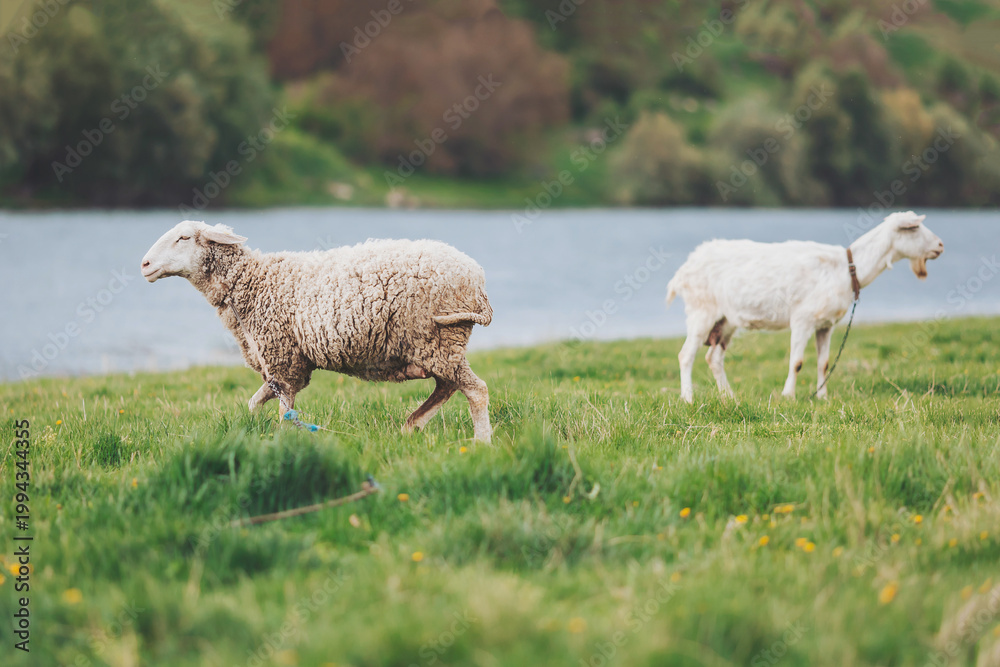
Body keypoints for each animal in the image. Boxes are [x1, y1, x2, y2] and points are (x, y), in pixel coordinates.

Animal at [141, 220, 494, 442]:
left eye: (184, 237)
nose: (144, 265)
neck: (251, 282)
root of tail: (477, 281)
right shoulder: (284, 363)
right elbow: (254, 403)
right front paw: (250, 427)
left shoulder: (282, 358)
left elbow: (284, 412)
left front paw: (283, 443)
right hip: (438, 345)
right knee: (448, 386)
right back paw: (412, 425)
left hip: (437, 338)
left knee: (475, 389)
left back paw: (481, 443)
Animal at [665, 211, 944, 403]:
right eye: (914, 228)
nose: (940, 245)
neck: (846, 269)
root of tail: (684, 269)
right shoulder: (803, 319)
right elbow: (797, 361)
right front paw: (788, 395)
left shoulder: (826, 325)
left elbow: (824, 363)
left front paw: (822, 396)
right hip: (702, 312)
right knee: (685, 355)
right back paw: (688, 398)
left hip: (726, 321)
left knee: (713, 358)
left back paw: (729, 397)